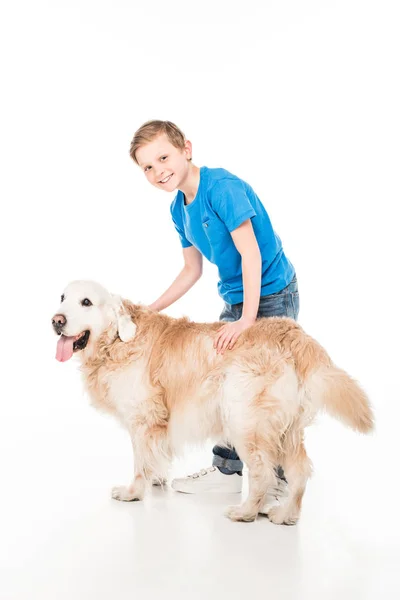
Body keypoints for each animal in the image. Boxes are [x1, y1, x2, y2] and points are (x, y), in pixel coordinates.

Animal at [51, 282, 374, 524]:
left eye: (86, 302)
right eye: (63, 297)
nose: (56, 321)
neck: (117, 342)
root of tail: (292, 333)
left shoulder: (143, 418)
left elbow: (141, 461)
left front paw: (133, 492)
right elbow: (156, 456)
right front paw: (157, 481)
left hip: (245, 421)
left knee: (263, 471)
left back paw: (246, 511)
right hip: (288, 429)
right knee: (300, 470)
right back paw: (285, 514)